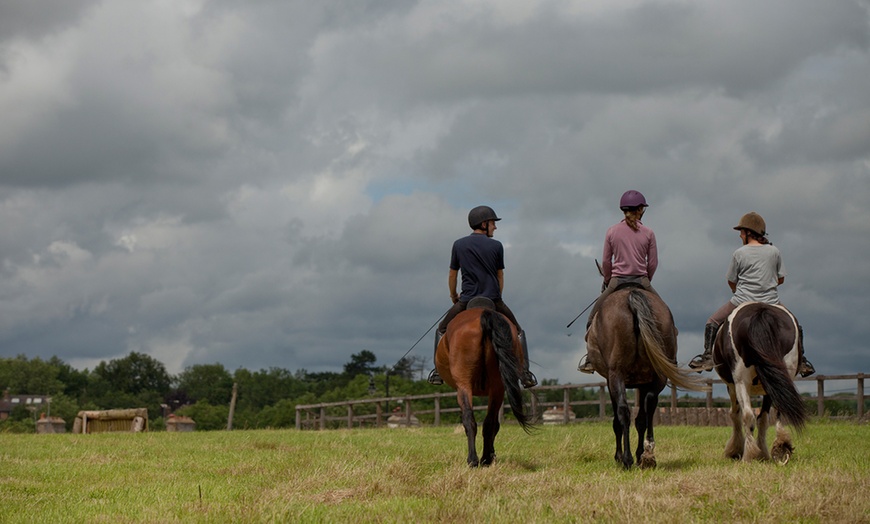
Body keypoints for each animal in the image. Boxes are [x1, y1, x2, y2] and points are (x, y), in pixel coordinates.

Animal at [434, 298, 536, 466]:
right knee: (488, 423)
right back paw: (485, 459)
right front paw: (491, 454)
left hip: (464, 385)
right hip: (497, 387)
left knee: (470, 419)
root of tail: (484, 315)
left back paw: (474, 459)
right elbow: (494, 423)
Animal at [584, 286, 708, 470]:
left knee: (624, 411)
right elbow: (641, 419)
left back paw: (627, 459)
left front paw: (619, 456)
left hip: (616, 374)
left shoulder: (610, 380)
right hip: (658, 375)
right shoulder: (643, 383)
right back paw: (648, 454)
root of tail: (632, 295)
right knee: (649, 405)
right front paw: (640, 454)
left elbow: (617, 421)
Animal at [716, 300, 812, 464]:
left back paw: (748, 455)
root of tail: (761, 312)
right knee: (778, 411)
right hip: (781, 376)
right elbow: (764, 419)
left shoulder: (732, 386)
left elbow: (735, 415)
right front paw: (761, 452)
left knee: (747, 415)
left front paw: (735, 450)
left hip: (741, 381)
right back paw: (781, 447)